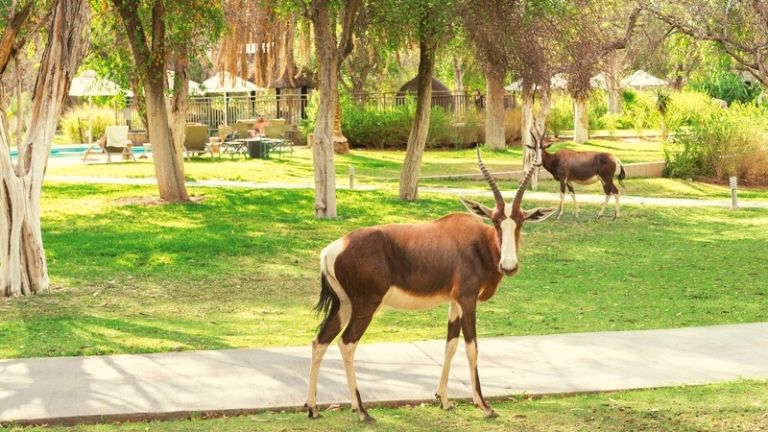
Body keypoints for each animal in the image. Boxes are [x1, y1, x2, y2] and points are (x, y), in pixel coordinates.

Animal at [304, 151, 556, 422]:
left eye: (520, 221)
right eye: (496, 221)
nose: (509, 266)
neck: (478, 241)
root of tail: (332, 250)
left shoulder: (454, 302)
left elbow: (450, 345)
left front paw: (444, 400)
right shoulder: (467, 299)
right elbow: (472, 346)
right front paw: (484, 405)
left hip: (345, 305)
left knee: (320, 340)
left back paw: (313, 408)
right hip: (366, 305)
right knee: (347, 342)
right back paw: (362, 411)